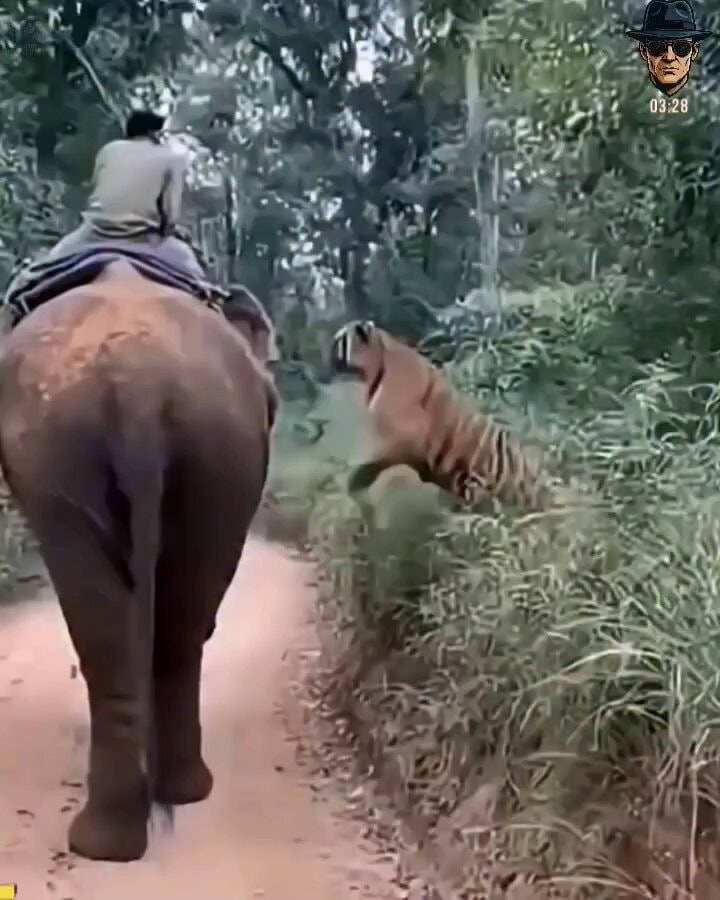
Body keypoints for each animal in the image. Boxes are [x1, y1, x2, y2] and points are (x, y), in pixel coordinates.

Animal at [0, 261, 277, 862]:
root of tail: (137, 384)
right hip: (201, 447)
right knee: (169, 618)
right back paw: (147, 813)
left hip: (92, 449)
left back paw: (124, 826)